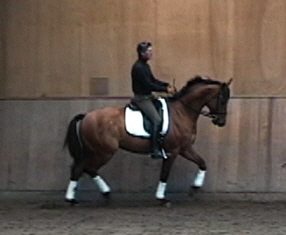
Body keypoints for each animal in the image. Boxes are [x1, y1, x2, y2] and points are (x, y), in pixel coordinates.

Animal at [64, 75, 232, 206]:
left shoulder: (184, 148)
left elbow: (202, 163)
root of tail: (86, 116)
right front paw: (162, 198)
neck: (182, 111)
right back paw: (87, 196)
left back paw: (83, 197)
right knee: (86, 168)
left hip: (94, 151)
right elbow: (164, 174)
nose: (221, 122)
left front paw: (194, 188)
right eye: (223, 100)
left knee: (81, 168)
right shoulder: (172, 151)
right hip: (103, 152)